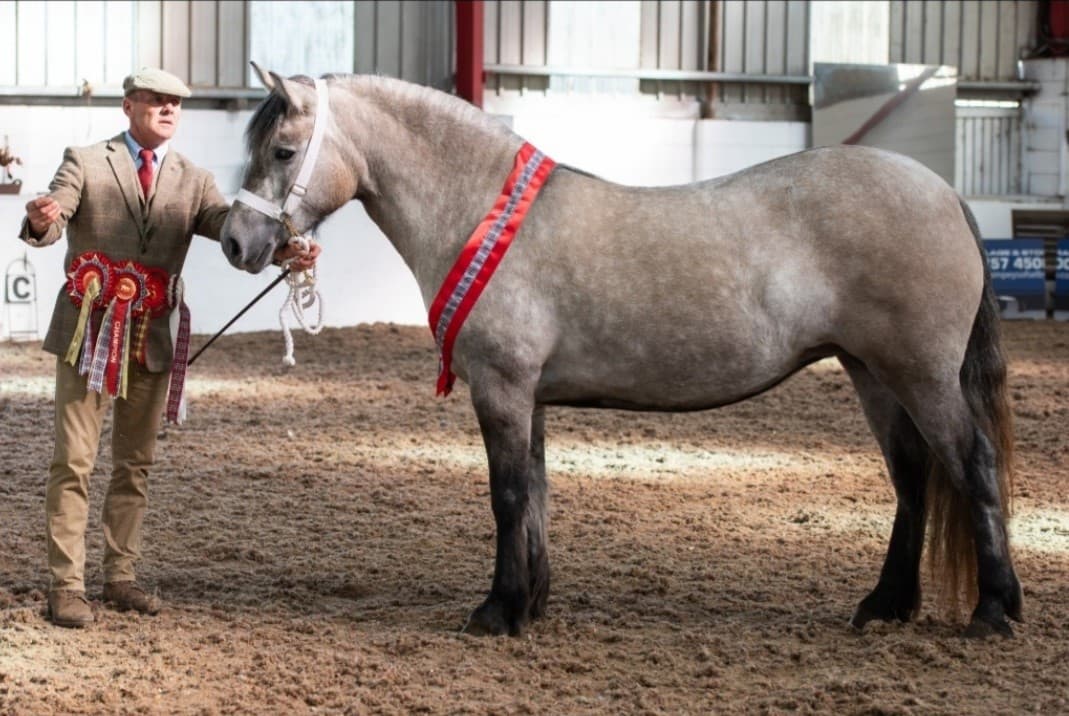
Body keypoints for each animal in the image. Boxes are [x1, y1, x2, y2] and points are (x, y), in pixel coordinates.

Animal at [220, 64, 1022, 639]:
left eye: (283, 150)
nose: (234, 243)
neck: (480, 211)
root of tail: (940, 192)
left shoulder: (501, 388)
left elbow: (506, 495)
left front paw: (497, 612)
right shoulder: (528, 396)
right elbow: (536, 495)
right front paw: (531, 604)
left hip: (918, 375)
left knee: (970, 464)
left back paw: (993, 613)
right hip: (873, 374)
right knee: (913, 478)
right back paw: (885, 605)